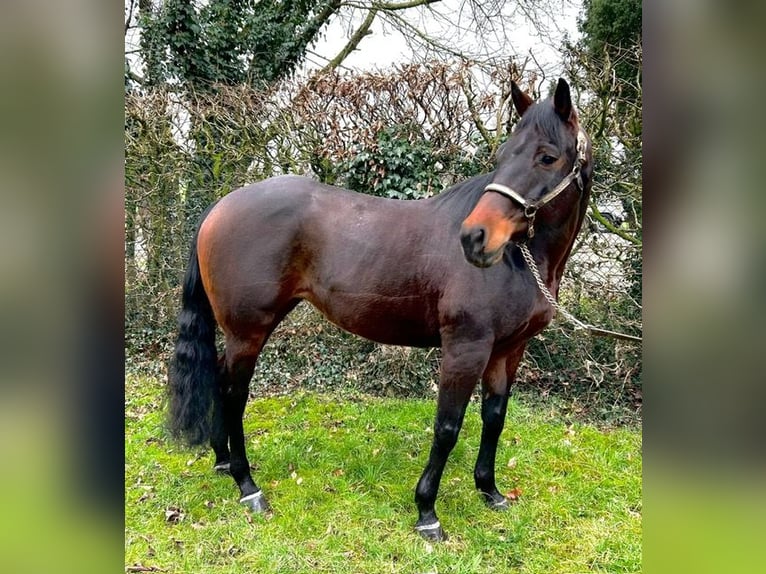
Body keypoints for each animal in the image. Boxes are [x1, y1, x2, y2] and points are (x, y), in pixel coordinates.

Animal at [168, 78, 593, 541]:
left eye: (547, 157)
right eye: (501, 156)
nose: (475, 238)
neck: (520, 259)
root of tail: (220, 206)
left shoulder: (508, 350)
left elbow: (494, 417)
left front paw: (490, 491)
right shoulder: (466, 348)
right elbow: (447, 426)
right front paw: (427, 512)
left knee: (220, 379)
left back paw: (223, 461)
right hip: (248, 331)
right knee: (234, 394)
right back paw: (248, 485)